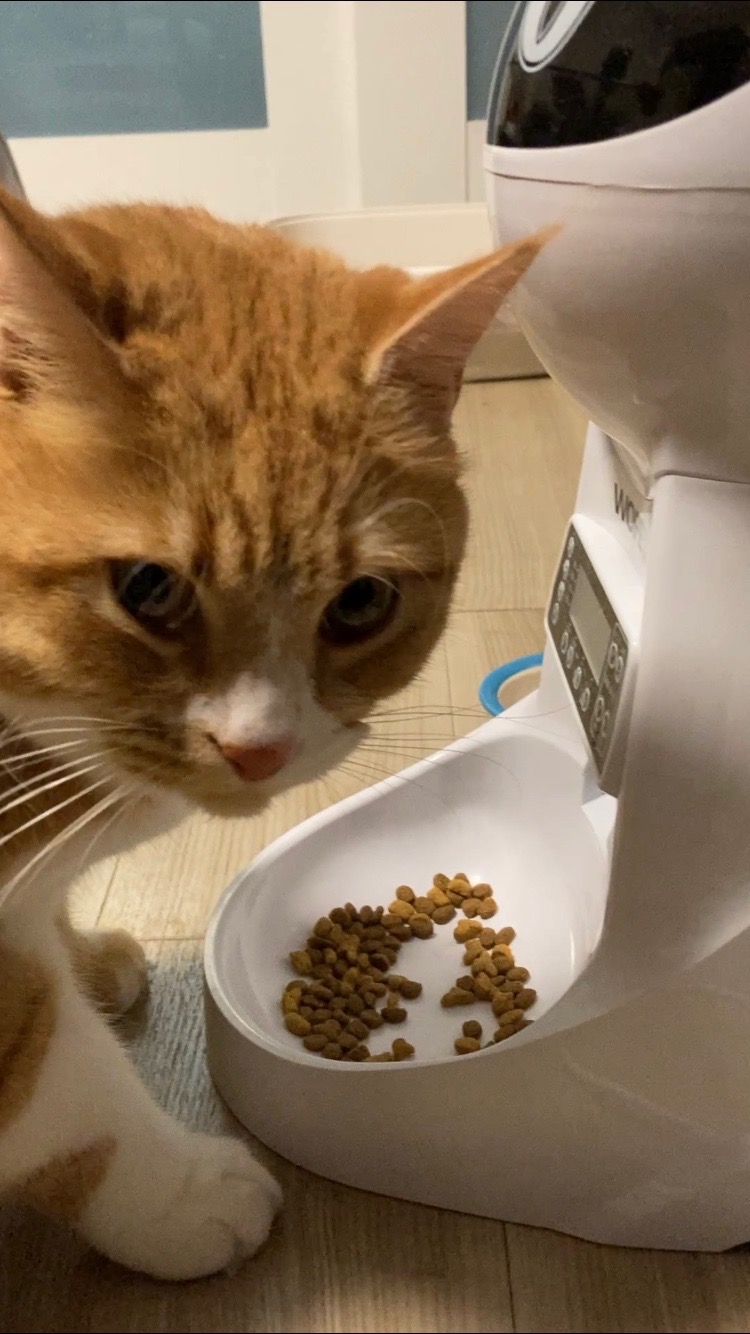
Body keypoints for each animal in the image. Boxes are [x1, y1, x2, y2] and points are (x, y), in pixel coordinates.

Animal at [0, 188, 549, 1279]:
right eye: (148, 588)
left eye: (363, 602)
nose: (259, 749)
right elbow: (66, 1092)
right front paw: (180, 1200)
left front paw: (84, 959)